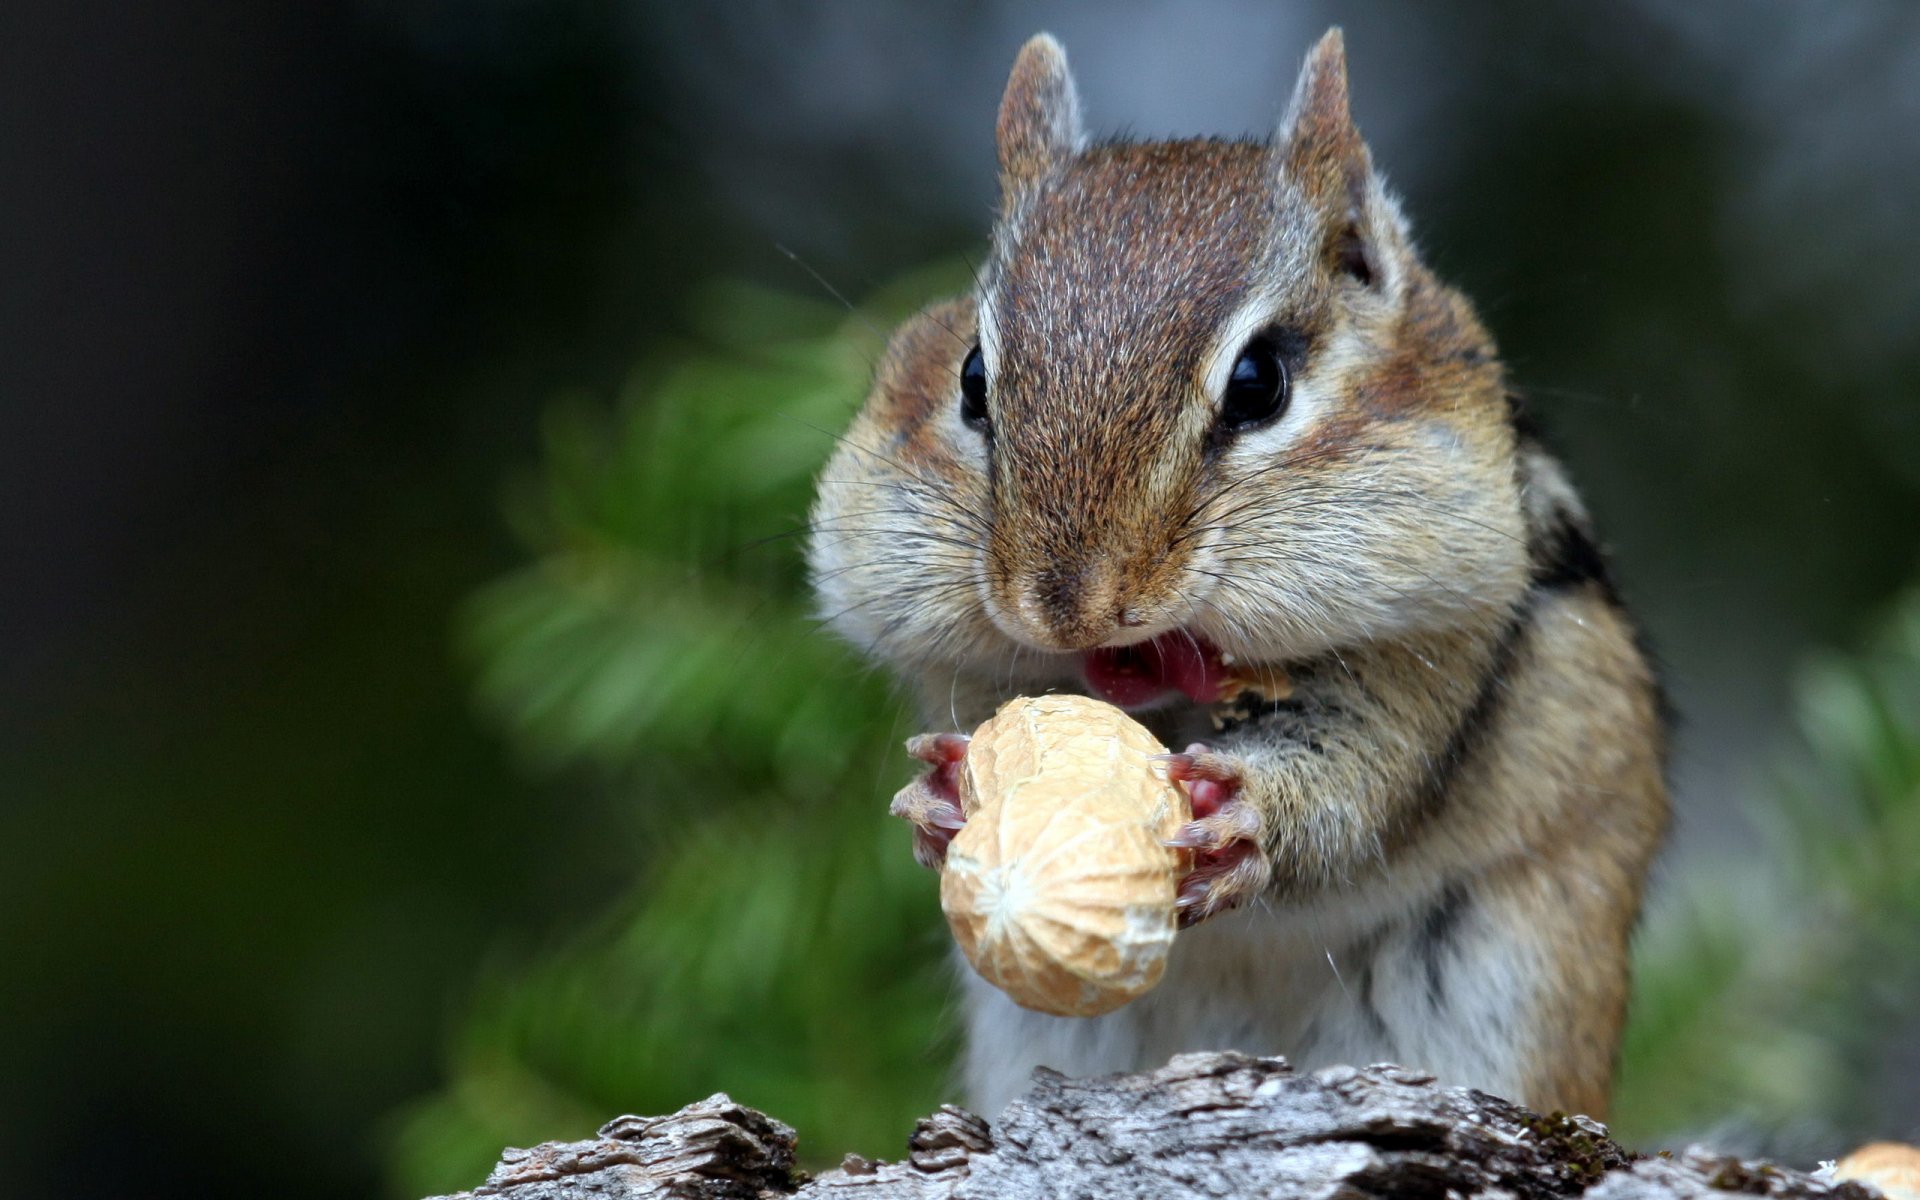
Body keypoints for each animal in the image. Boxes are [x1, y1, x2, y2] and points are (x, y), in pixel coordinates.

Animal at [807, 29, 1668, 1121]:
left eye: (1260, 384)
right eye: (970, 381)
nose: (1066, 609)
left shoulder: (1446, 640)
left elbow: (1366, 773)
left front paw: (1252, 817)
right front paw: (937, 798)